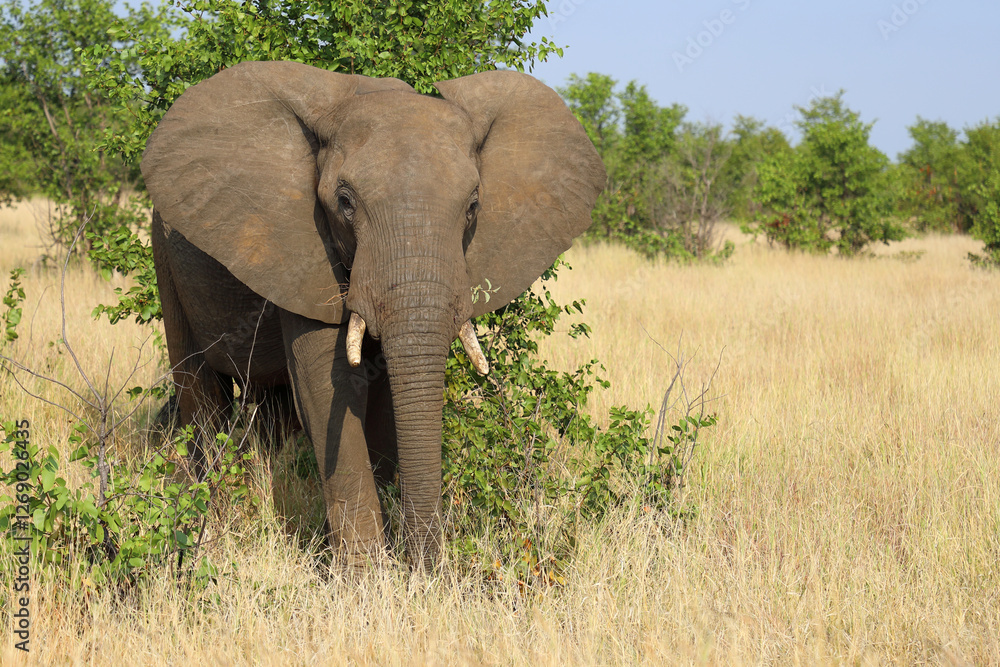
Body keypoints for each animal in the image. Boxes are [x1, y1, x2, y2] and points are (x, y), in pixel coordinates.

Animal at [141, 60, 605, 569]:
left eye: (473, 206)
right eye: (344, 203)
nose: (430, 569)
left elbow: (385, 396)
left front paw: (396, 568)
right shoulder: (302, 248)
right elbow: (327, 384)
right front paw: (366, 576)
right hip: (164, 252)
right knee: (200, 393)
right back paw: (207, 526)